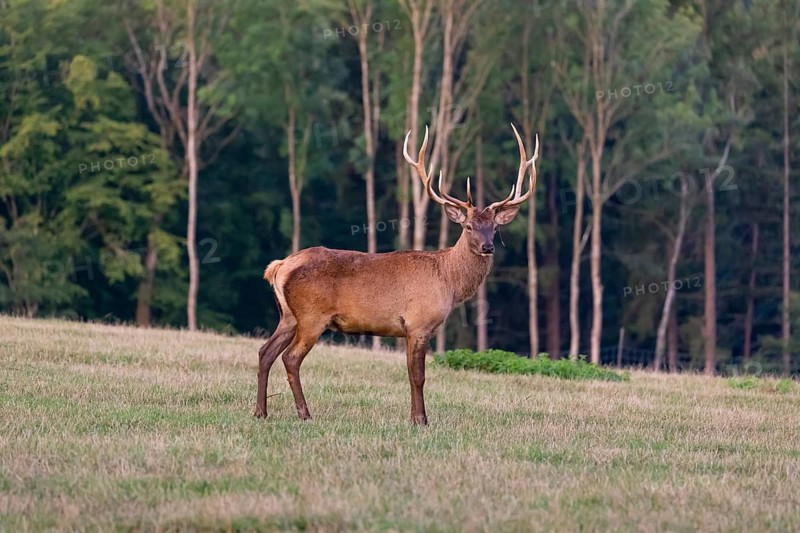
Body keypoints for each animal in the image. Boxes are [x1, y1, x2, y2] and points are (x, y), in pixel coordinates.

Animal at [255, 124, 538, 425]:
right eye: (469, 226)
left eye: (495, 228)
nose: (488, 247)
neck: (448, 281)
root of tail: (279, 267)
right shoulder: (419, 323)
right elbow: (419, 377)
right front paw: (421, 420)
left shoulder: (408, 330)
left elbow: (410, 375)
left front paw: (414, 417)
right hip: (311, 316)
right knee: (290, 358)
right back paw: (305, 413)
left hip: (288, 316)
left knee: (265, 352)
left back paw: (260, 411)